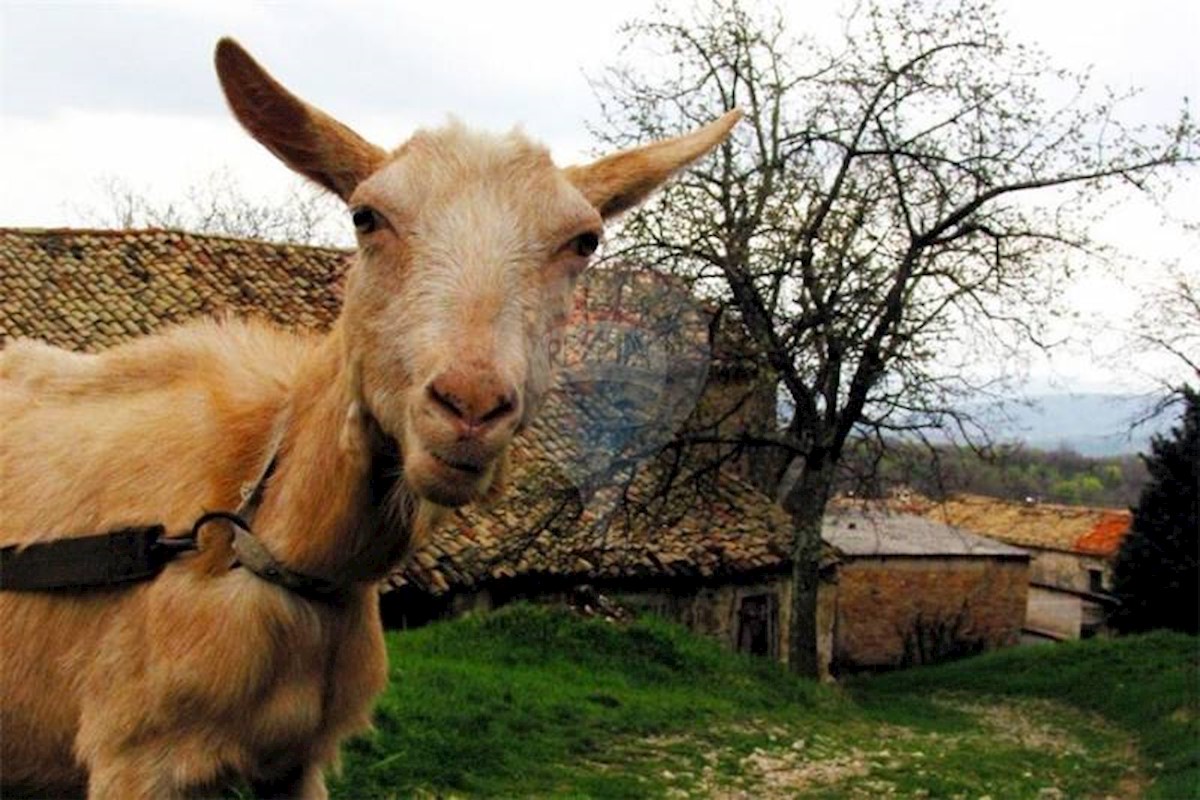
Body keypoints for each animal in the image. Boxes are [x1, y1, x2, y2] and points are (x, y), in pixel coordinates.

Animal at [0, 37, 739, 800]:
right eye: (365, 217)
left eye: (584, 240)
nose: (469, 406)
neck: (262, 545)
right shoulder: (134, 759)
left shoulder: (297, 763)